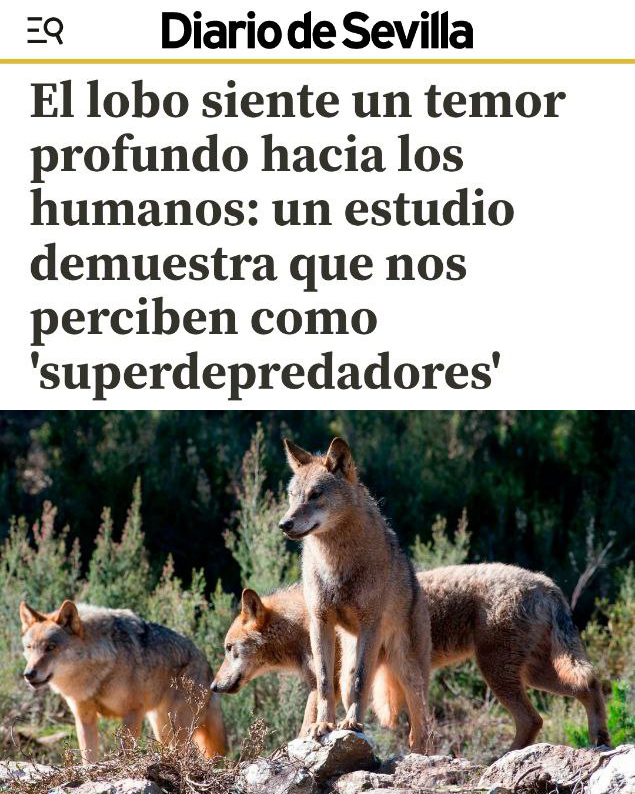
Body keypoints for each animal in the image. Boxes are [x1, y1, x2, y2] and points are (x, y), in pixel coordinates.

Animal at [20, 600, 226, 762]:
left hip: (176, 729)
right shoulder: (84, 717)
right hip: (162, 729)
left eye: (50, 647)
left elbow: (126, 753)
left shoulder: (132, 714)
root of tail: (207, 665)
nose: (28, 674)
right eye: (29, 647)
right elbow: (88, 758)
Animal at [212, 565, 609, 752]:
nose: (214, 686)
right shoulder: (324, 687)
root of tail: (547, 583)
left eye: (229, 650)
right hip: (534, 674)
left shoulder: (330, 685)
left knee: (533, 718)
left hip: (500, 673)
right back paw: (600, 739)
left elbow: (308, 726)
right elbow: (308, 724)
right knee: (589, 686)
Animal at [277, 437, 431, 751]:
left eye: (315, 494)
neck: (336, 563)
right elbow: (324, 683)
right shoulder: (320, 623)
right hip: (351, 662)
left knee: (420, 730)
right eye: (292, 495)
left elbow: (362, 681)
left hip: (409, 673)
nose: (284, 524)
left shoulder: (370, 624)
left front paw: (352, 725)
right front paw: (323, 725)